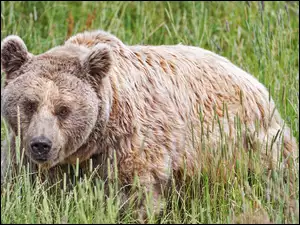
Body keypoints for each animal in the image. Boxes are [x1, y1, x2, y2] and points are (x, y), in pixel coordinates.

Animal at [1, 29, 298, 220]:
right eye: (29, 103)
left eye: (63, 109)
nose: (41, 144)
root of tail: (252, 79)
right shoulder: (27, 155)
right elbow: (27, 188)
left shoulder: (132, 144)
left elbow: (135, 195)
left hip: (248, 145)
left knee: (278, 180)